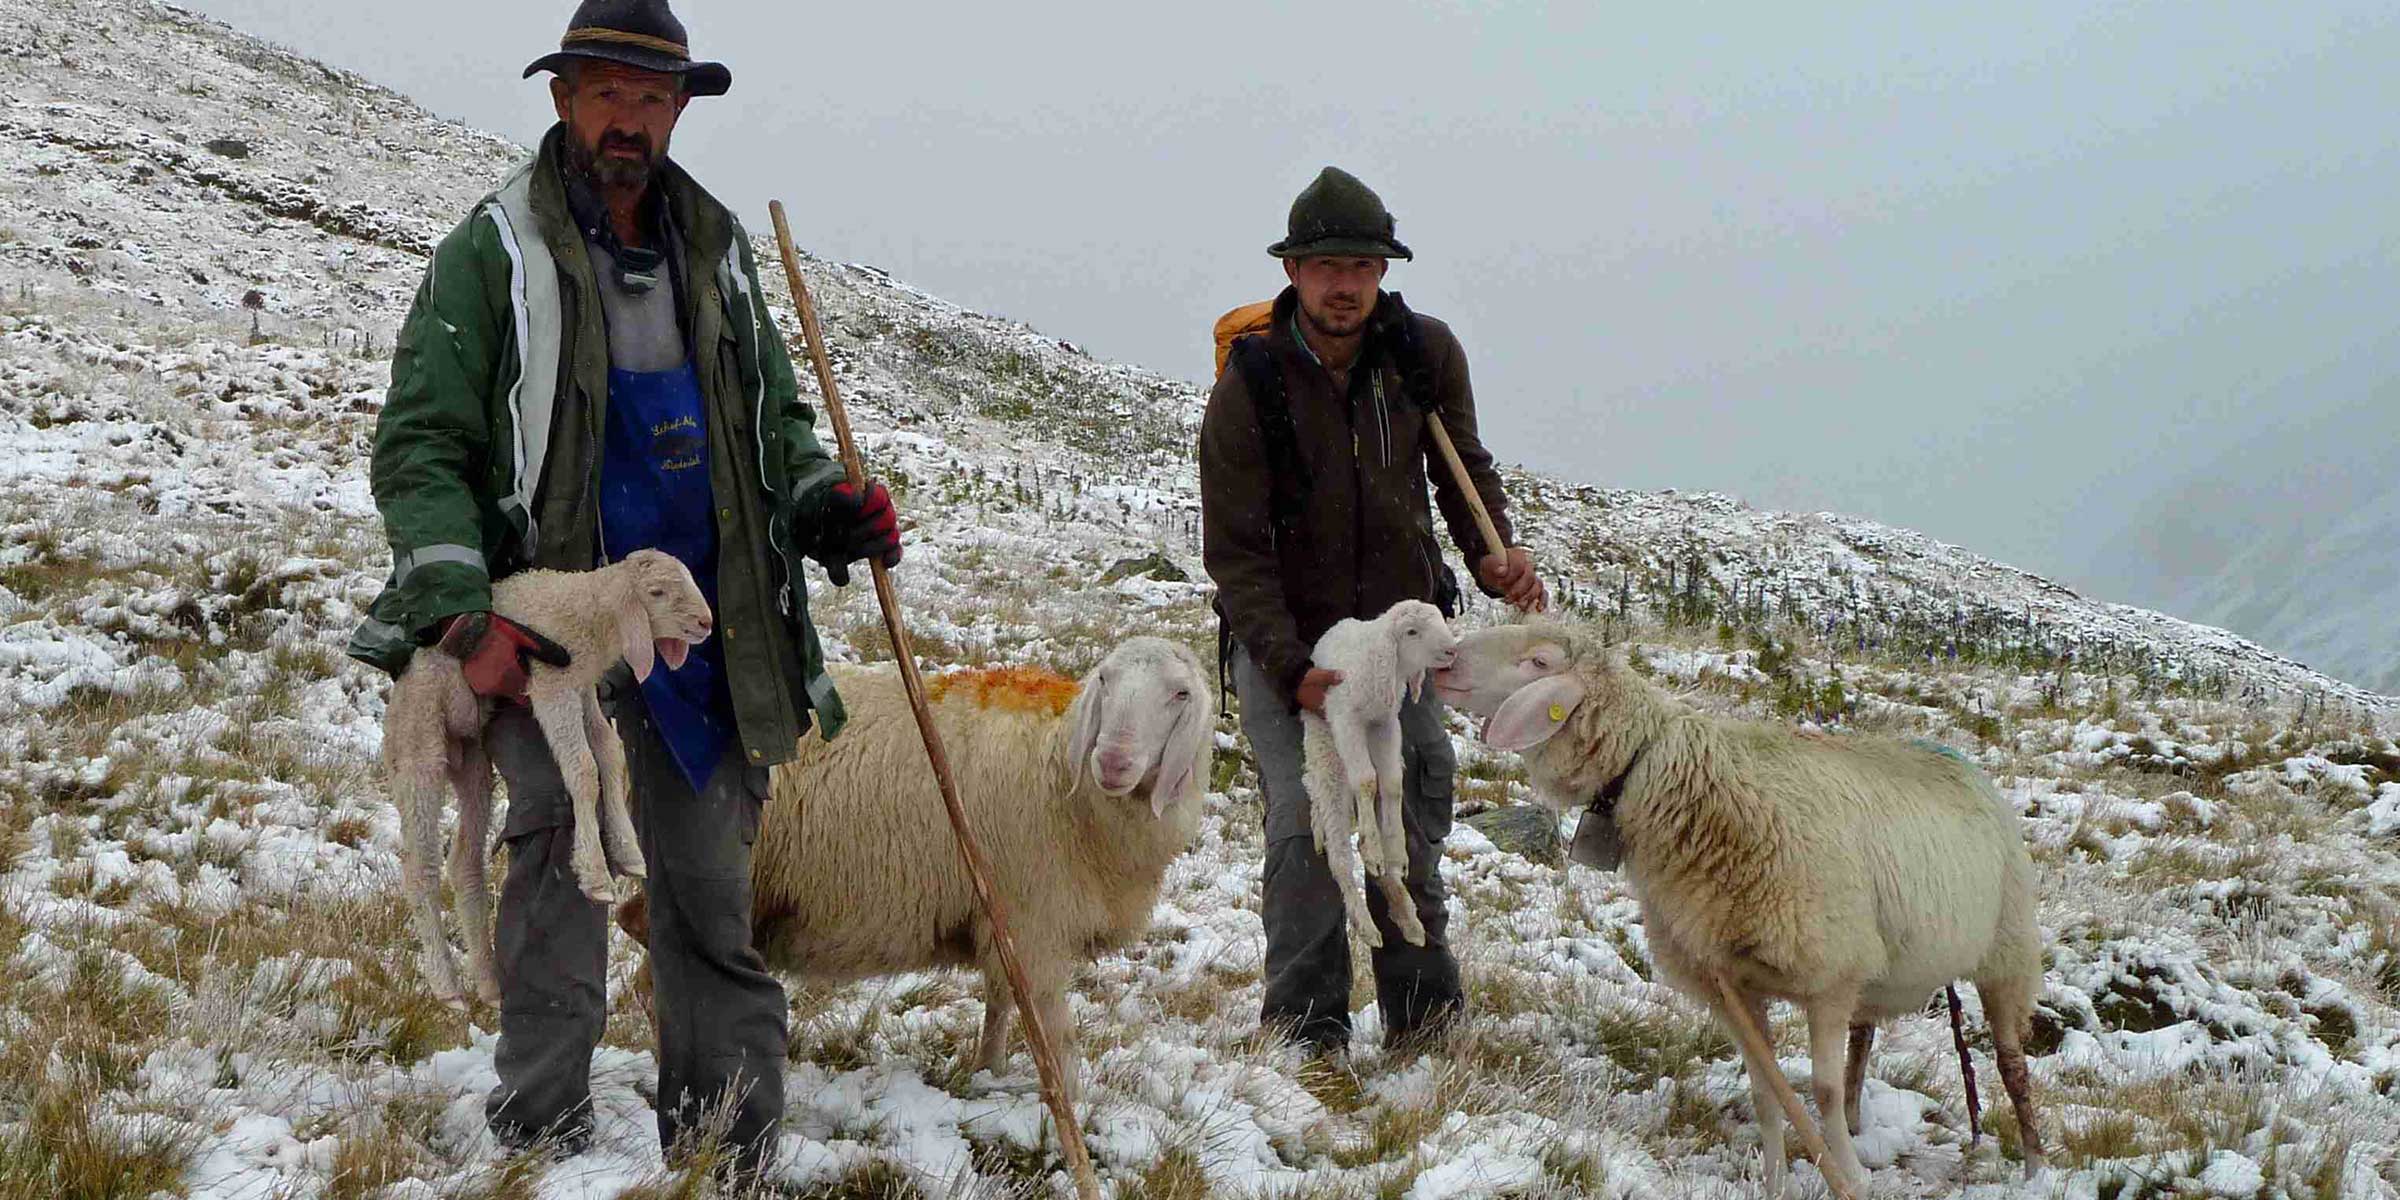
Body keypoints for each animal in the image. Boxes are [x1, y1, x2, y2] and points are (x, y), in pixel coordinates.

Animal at [384, 549, 710, 1008]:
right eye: (657, 592)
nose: (706, 623)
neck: (591, 612)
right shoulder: (551, 683)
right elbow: (584, 769)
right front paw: (594, 873)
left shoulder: (582, 688)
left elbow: (609, 754)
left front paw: (626, 849)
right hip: (420, 750)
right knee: (420, 866)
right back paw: (446, 984)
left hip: (471, 758)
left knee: (464, 860)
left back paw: (488, 981)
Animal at [619, 633, 1219, 1099]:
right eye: (1106, 680)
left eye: (1180, 693)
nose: (1112, 762)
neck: (1063, 773)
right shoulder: (1035, 925)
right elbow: (1055, 1033)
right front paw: (1072, 1112)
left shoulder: (1003, 919)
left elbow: (1001, 1002)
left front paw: (988, 1072)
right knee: (656, 977)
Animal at [1305, 597, 1449, 945]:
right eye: (1412, 632)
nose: (1451, 650)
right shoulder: (1347, 720)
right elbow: (1367, 781)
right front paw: (1371, 847)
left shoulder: (1386, 725)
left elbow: (1393, 784)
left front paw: (1395, 850)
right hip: (1326, 754)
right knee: (1339, 856)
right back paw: (1366, 924)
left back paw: (1405, 912)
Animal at [1430, 624, 2054, 1195]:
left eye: (1538, 661)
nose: (1445, 658)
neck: (1679, 782)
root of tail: (1964, 762)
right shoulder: (1732, 980)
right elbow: (1765, 1090)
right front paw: (1778, 1181)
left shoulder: (1827, 974)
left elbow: (1820, 1091)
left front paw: (1849, 1177)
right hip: (1877, 960)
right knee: (1863, 1038)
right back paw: (1859, 1125)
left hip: (2007, 949)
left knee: (2011, 1065)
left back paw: (2034, 1167)